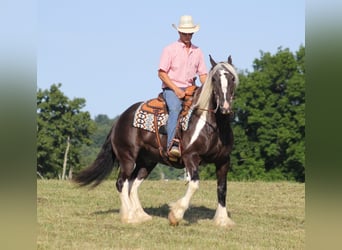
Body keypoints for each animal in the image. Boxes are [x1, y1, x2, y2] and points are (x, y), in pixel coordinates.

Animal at [74, 54, 240, 227]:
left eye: (232, 78)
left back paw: (141, 215)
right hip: (127, 158)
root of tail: (120, 119)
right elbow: (194, 184)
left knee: (133, 184)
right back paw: (129, 216)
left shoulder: (223, 160)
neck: (210, 125)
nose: (225, 107)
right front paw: (176, 215)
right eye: (214, 79)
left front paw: (222, 220)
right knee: (121, 183)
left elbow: (222, 188)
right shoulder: (191, 157)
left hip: (147, 161)